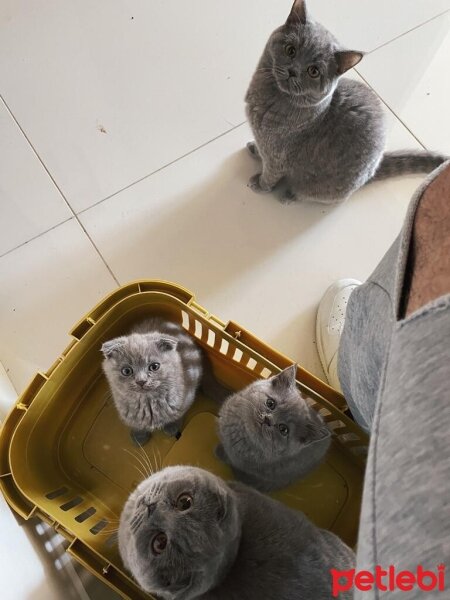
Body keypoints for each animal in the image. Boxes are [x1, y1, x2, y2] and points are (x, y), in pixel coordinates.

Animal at [244, 0, 448, 204]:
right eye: (290, 50)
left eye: (313, 71)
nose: (292, 71)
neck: (271, 96)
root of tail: (375, 166)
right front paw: (254, 148)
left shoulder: (277, 155)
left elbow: (270, 174)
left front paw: (259, 185)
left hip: (322, 188)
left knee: (307, 193)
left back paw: (289, 195)